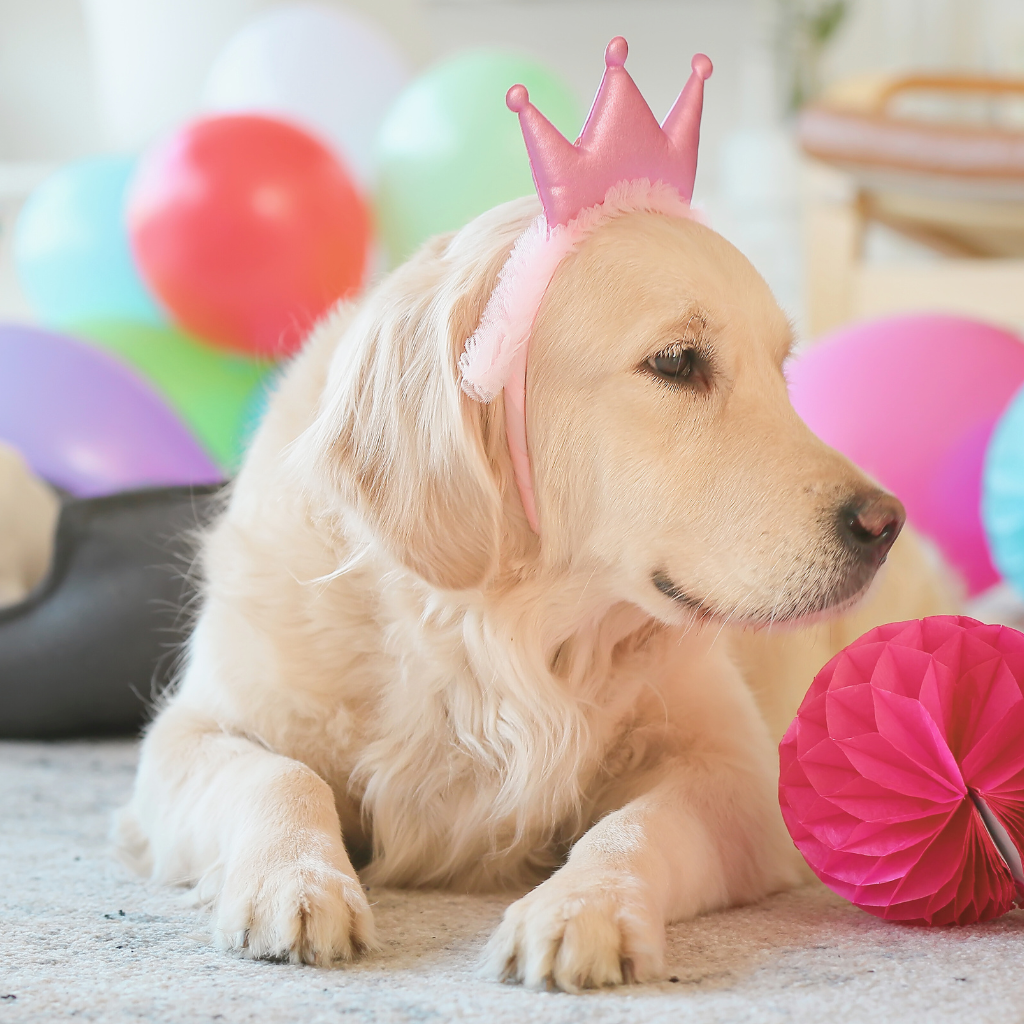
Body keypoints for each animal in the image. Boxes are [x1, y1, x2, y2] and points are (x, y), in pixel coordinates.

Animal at [116, 193, 954, 991]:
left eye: (782, 367)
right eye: (677, 361)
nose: (884, 523)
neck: (497, 639)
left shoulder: (736, 778)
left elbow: (631, 829)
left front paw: (583, 908)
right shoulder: (188, 736)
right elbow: (280, 776)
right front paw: (295, 879)